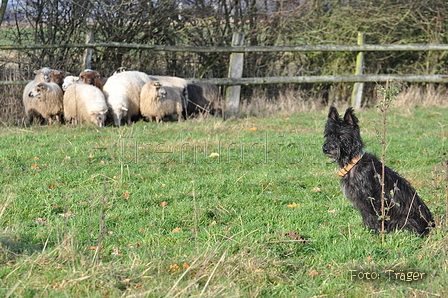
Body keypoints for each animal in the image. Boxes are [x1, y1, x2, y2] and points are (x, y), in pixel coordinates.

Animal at [322, 106, 434, 236]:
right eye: (328, 135)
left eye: (341, 136)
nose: (326, 149)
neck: (354, 163)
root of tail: (430, 225)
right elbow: (367, 218)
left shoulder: (373, 200)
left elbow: (374, 217)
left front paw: (376, 233)